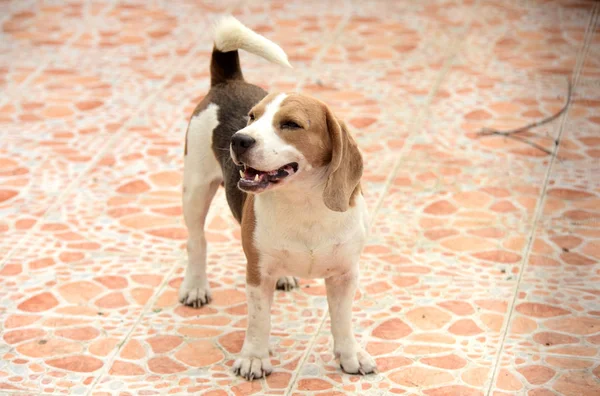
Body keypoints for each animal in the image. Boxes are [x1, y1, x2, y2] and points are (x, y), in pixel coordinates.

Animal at [180, 16, 376, 380]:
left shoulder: (345, 275)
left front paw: (349, 355)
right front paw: (254, 357)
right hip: (195, 188)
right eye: (252, 118)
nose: (239, 139)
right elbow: (259, 321)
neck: (303, 204)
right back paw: (196, 286)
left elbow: (342, 320)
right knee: (196, 241)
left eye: (291, 124)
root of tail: (228, 81)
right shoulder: (257, 274)